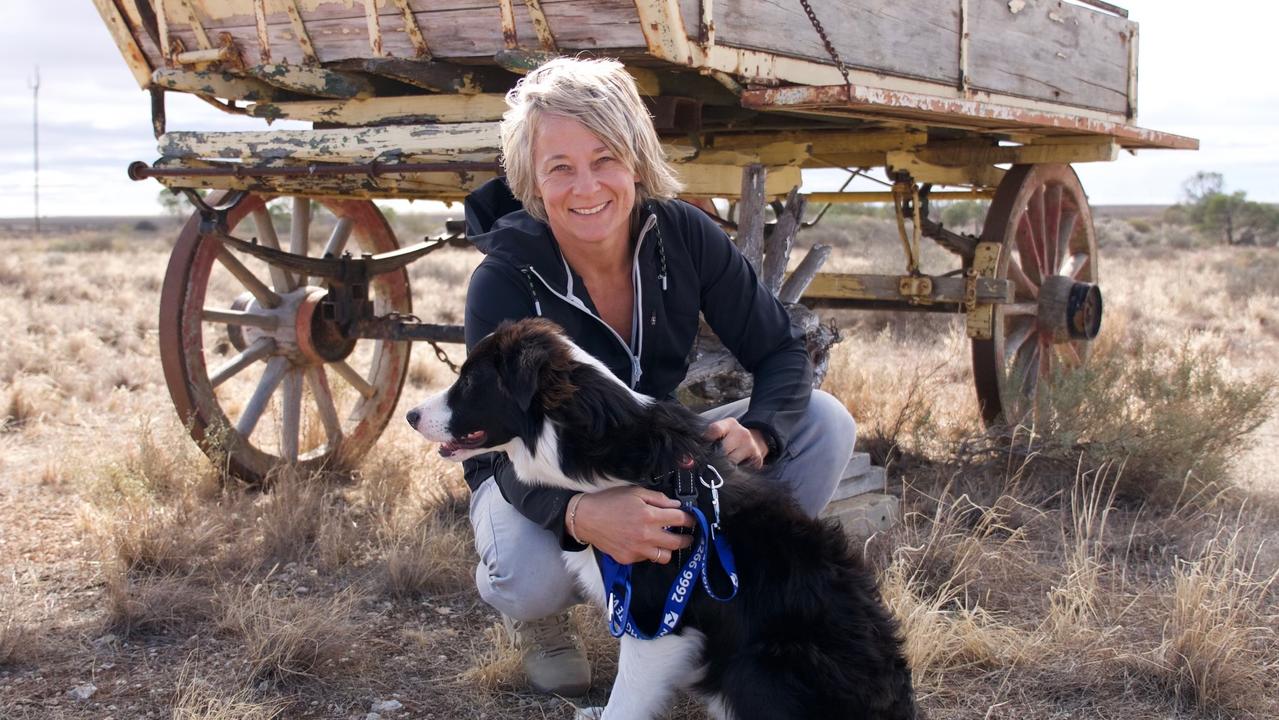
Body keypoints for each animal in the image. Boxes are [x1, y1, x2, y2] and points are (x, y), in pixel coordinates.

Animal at [404, 320, 915, 720]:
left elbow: (627, 700)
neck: (594, 446)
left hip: (760, 664)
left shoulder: (657, 619)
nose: (409, 415)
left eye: (471, 381)